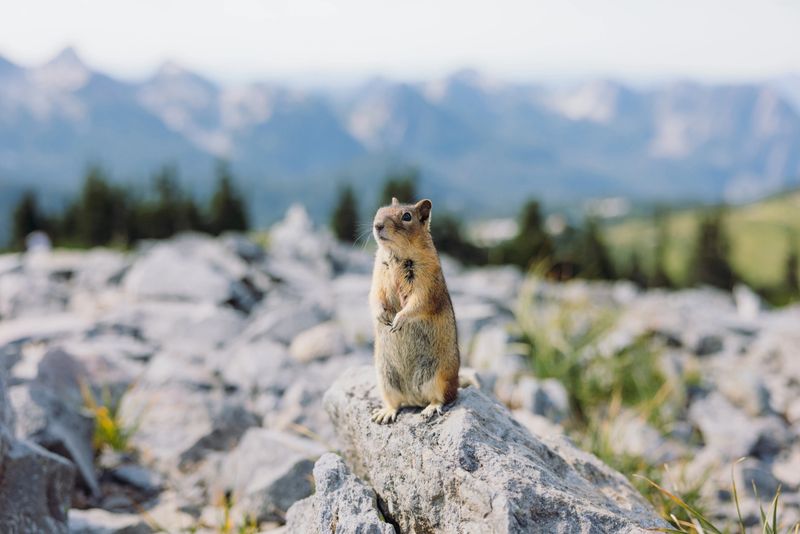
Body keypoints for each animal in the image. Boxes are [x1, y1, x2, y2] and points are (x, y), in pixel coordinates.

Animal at [369, 197, 460, 424]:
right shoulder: (378, 275)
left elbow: (419, 302)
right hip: (385, 379)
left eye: (407, 216)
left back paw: (430, 409)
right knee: (395, 403)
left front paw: (398, 320)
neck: (396, 255)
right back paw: (384, 413)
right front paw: (382, 316)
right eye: (379, 210)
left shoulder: (426, 279)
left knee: (444, 398)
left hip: (439, 378)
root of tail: (414, 399)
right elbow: (374, 296)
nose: (377, 225)